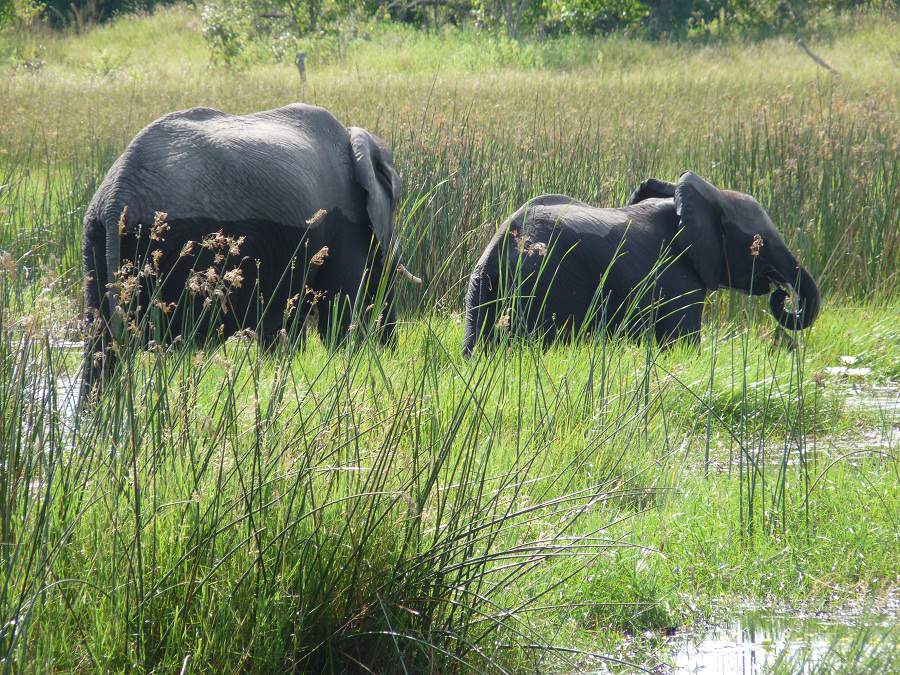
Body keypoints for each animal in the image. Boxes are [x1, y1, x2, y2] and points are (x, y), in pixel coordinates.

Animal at [81, 103, 418, 394]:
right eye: (396, 203)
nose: (392, 355)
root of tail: (115, 201)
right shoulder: (343, 219)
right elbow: (339, 312)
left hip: (97, 241)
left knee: (100, 344)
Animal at [464, 172, 824, 356]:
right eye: (763, 242)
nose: (781, 293)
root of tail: (500, 247)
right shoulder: (678, 279)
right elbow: (682, 342)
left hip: (482, 287)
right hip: (545, 287)